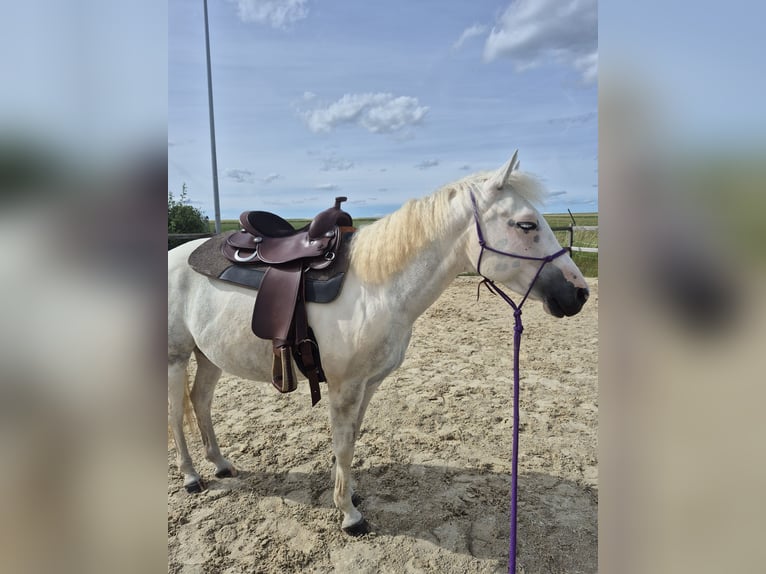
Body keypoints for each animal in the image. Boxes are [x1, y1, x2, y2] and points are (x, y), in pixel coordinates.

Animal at [167, 151, 590, 535]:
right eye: (526, 224)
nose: (580, 293)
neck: (377, 288)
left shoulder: (368, 385)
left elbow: (352, 440)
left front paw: (350, 493)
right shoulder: (344, 388)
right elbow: (342, 444)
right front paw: (350, 516)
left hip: (210, 356)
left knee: (200, 402)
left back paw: (220, 464)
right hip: (176, 357)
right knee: (175, 415)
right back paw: (191, 476)